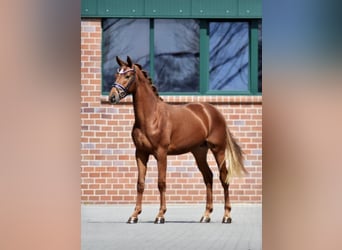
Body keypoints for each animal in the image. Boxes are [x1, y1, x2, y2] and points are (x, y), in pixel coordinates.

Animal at [108, 55, 247, 224]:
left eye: (128, 76)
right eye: (116, 75)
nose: (112, 97)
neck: (151, 117)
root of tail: (213, 112)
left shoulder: (161, 153)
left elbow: (161, 183)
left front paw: (160, 215)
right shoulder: (140, 153)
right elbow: (140, 184)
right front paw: (134, 215)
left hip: (218, 150)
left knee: (223, 177)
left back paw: (226, 216)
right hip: (199, 152)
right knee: (208, 177)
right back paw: (206, 215)